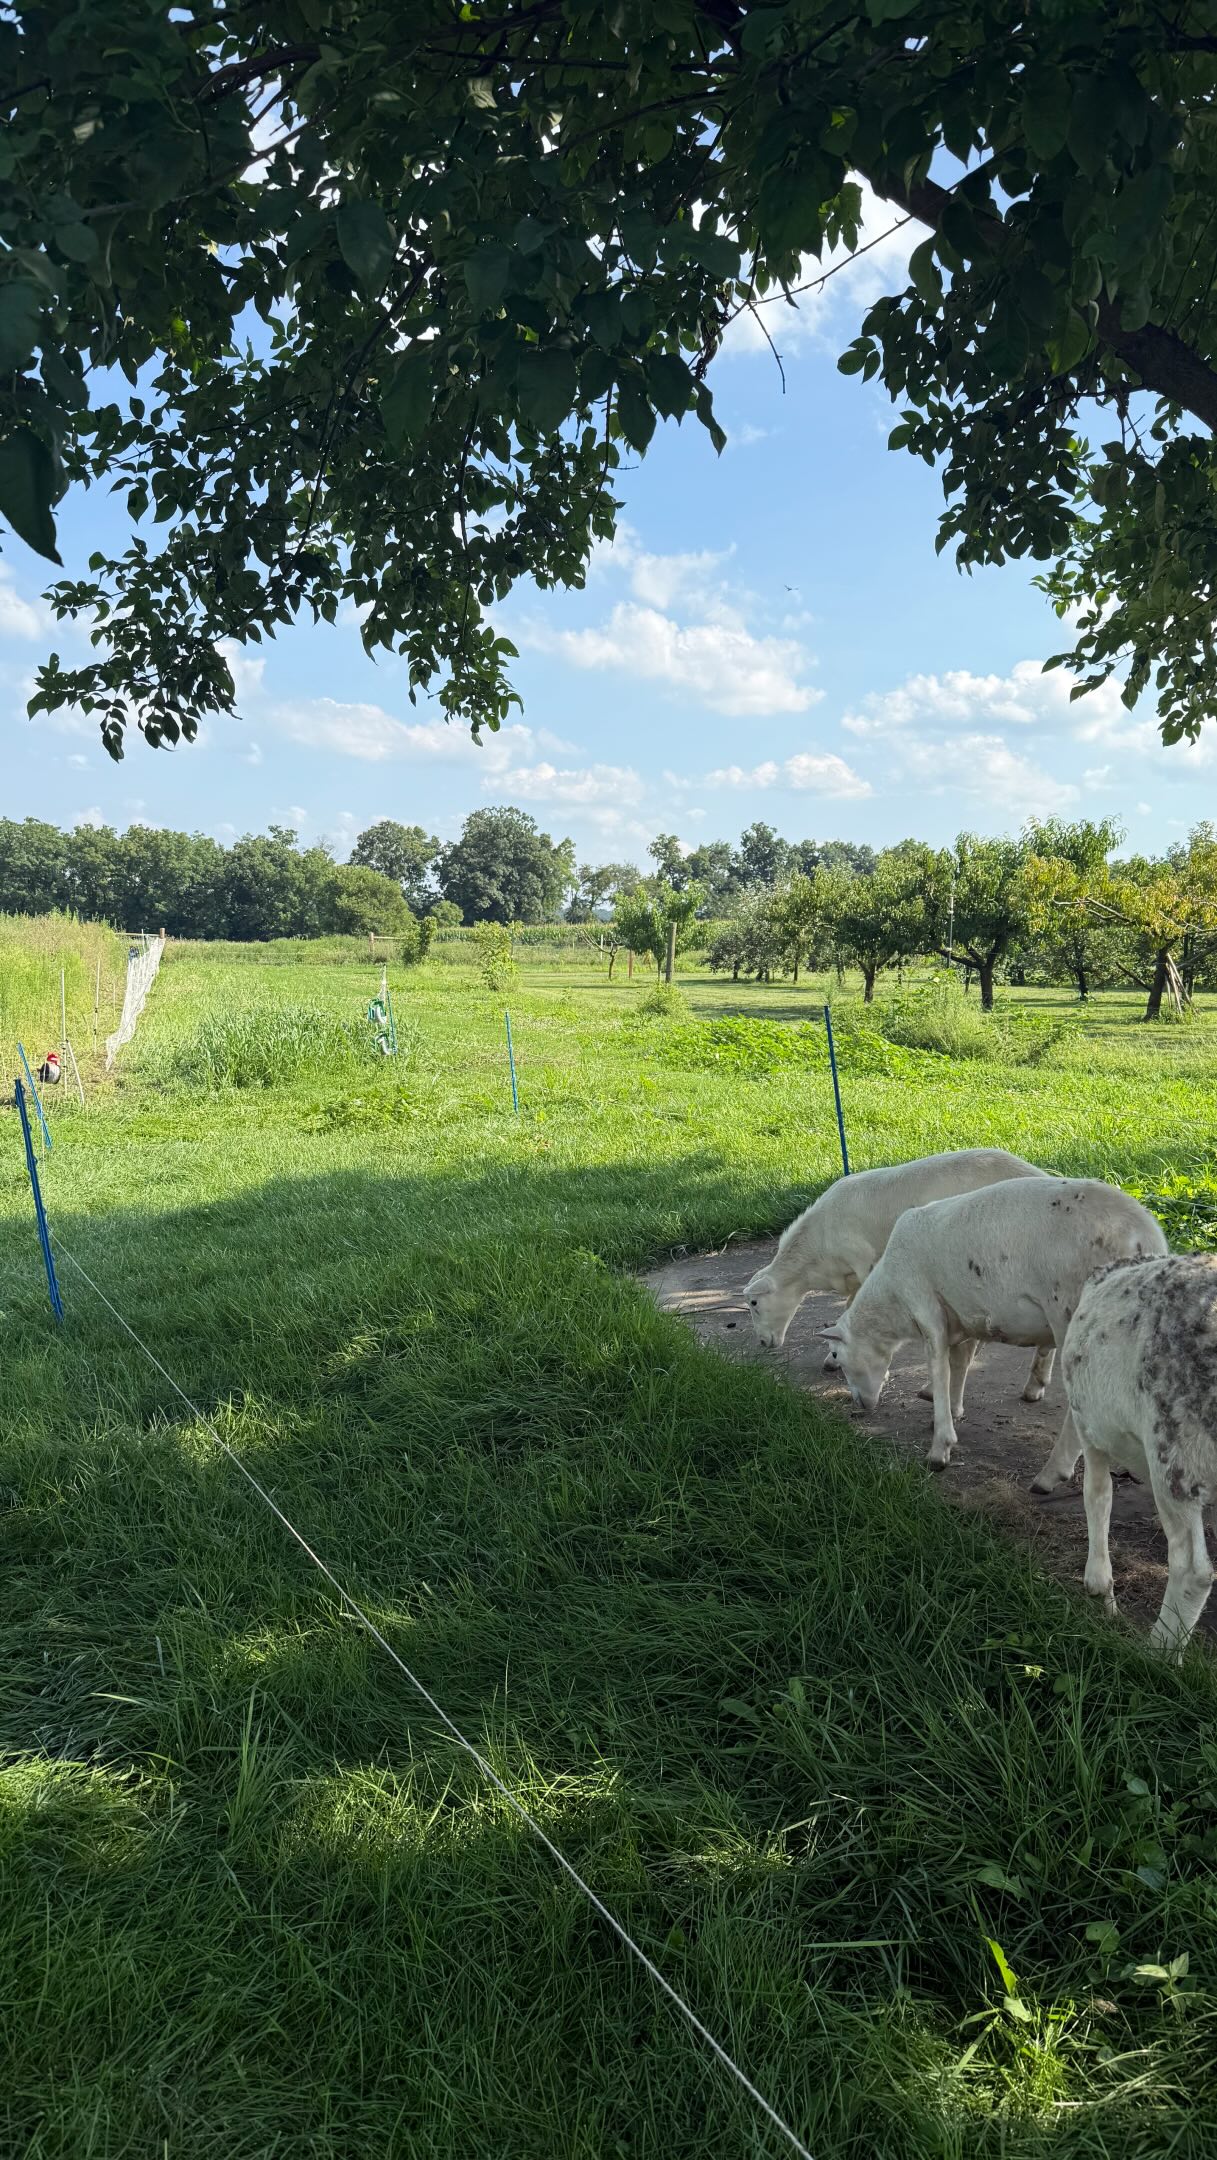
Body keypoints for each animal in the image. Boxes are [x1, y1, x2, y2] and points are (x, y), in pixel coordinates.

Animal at [746, 1148, 1056, 1403]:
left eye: (754, 1303)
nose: (761, 1343)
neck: (816, 1252)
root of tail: (1038, 1174)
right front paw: (833, 1357)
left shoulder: (864, 1264)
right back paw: (1033, 1386)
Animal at [819, 1177, 1167, 1487]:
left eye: (837, 1354)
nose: (859, 1405)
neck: (891, 1301)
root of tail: (1146, 1235)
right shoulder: (963, 1316)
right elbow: (959, 1363)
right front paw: (953, 1410)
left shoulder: (926, 1308)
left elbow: (939, 1369)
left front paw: (939, 1448)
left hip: (1071, 1314)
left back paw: (1051, 1474)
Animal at [1062, 1254, 1216, 1655]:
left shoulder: (1090, 1430)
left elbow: (1097, 1497)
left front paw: (1100, 1588)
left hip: (1173, 1450)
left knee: (1193, 1569)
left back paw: (1156, 1654)